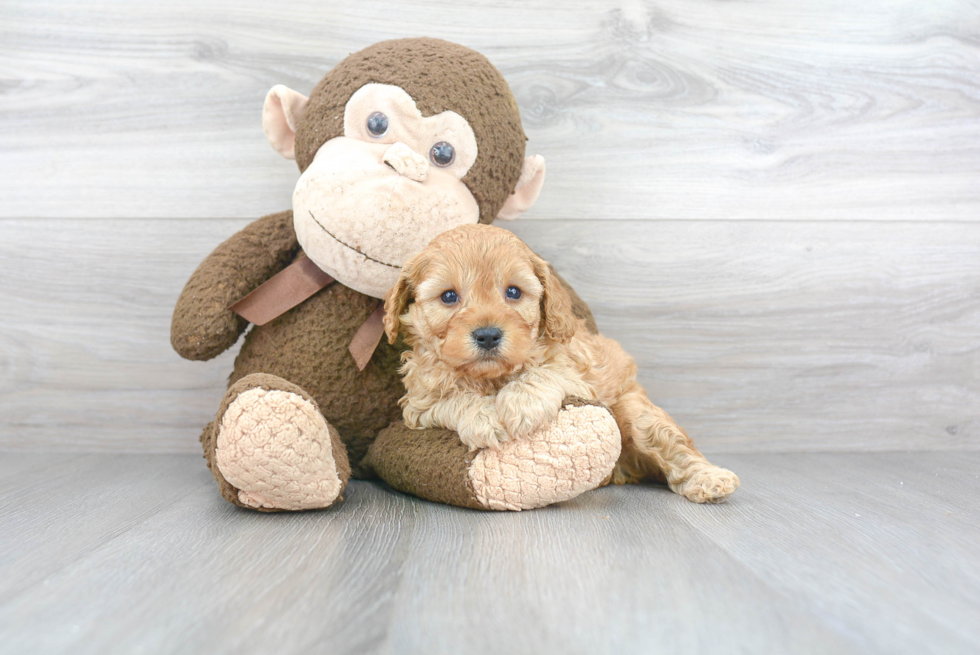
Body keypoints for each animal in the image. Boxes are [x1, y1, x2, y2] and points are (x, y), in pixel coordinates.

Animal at [380, 224, 736, 502]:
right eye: (449, 296)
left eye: (513, 292)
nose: (488, 335)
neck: (491, 377)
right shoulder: (420, 404)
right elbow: (452, 399)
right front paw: (484, 417)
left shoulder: (578, 373)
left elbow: (545, 372)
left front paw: (521, 404)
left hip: (636, 411)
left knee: (674, 445)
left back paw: (710, 479)